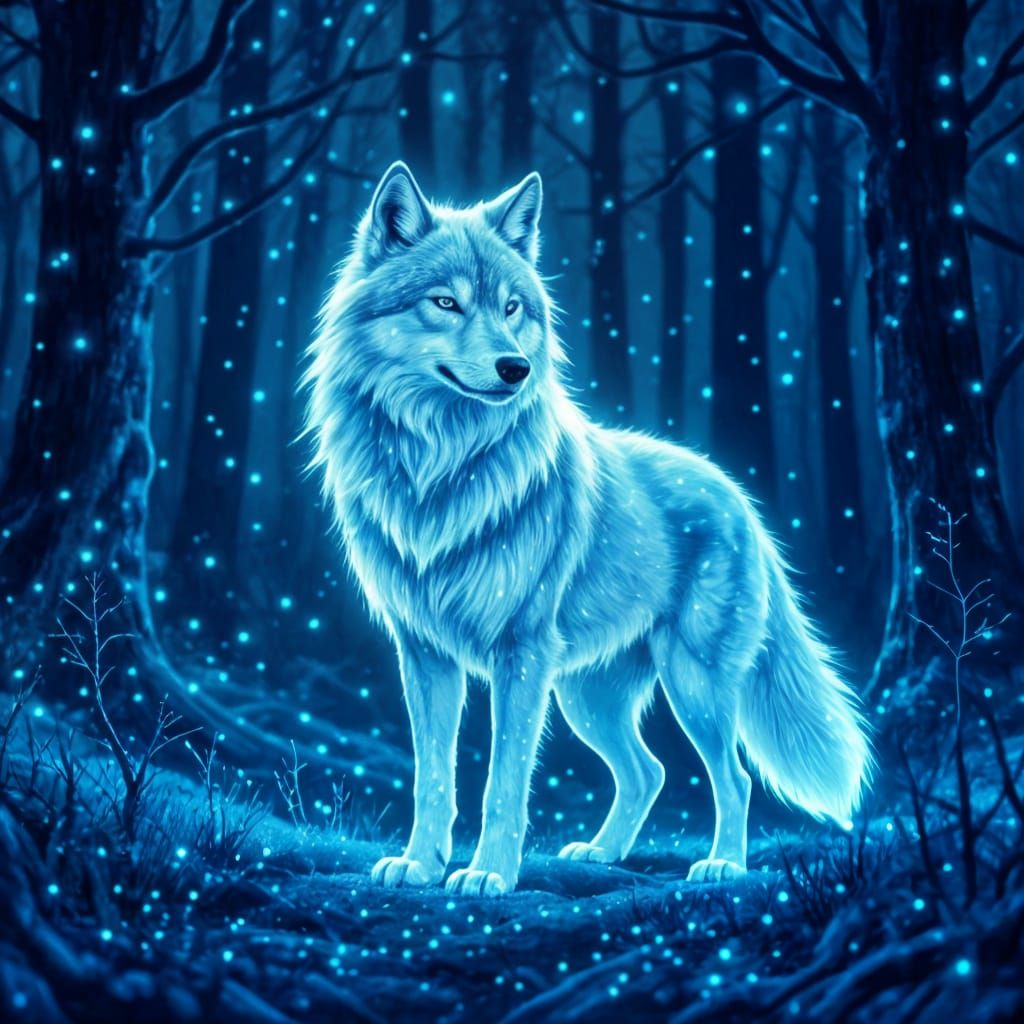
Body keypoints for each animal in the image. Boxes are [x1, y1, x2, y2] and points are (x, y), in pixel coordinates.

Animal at [304, 161, 870, 897]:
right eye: (446, 303)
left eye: (512, 308)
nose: (515, 368)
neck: (440, 467)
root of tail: (741, 499)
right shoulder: (424, 655)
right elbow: (433, 777)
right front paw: (421, 865)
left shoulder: (521, 655)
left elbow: (503, 782)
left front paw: (488, 874)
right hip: (586, 697)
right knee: (650, 771)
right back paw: (601, 853)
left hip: (690, 684)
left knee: (734, 776)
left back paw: (722, 865)